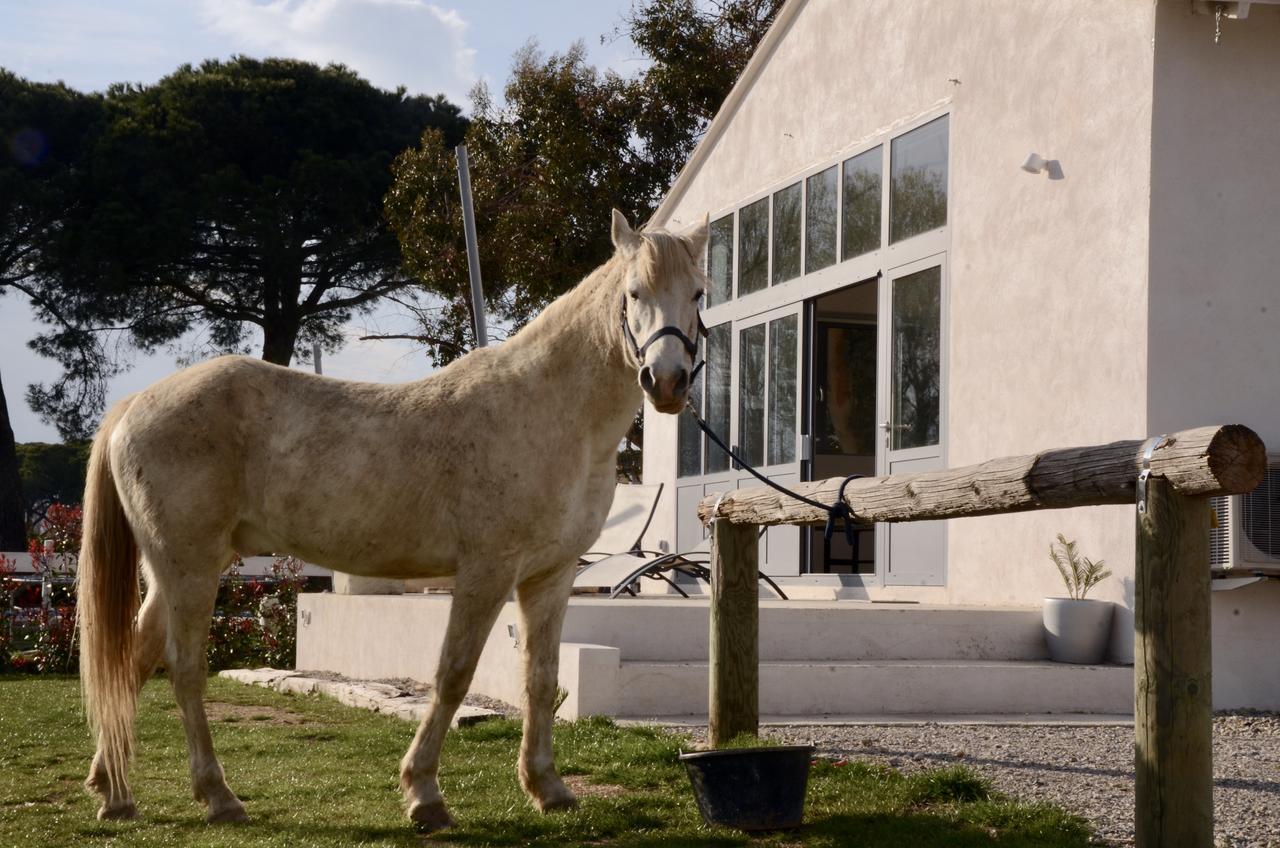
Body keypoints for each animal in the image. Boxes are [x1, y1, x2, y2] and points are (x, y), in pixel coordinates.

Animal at [77, 211, 711, 830]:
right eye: (634, 293)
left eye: (699, 292)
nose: (668, 381)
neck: (550, 412)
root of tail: (134, 404)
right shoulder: (486, 573)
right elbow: (454, 674)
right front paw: (424, 794)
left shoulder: (549, 578)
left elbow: (542, 679)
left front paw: (547, 788)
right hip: (190, 567)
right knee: (183, 670)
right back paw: (217, 797)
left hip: (175, 570)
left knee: (133, 658)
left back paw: (114, 792)